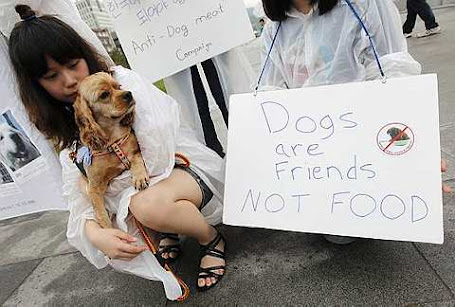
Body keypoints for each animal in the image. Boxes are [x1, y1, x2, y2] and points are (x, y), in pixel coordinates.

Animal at [74, 73, 150, 229]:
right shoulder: (94, 188)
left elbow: (137, 160)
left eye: (118, 86)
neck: (113, 142)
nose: (128, 93)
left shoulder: (135, 151)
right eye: (104, 94)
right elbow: (100, 212)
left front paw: (139, 178)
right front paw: (109, 228)